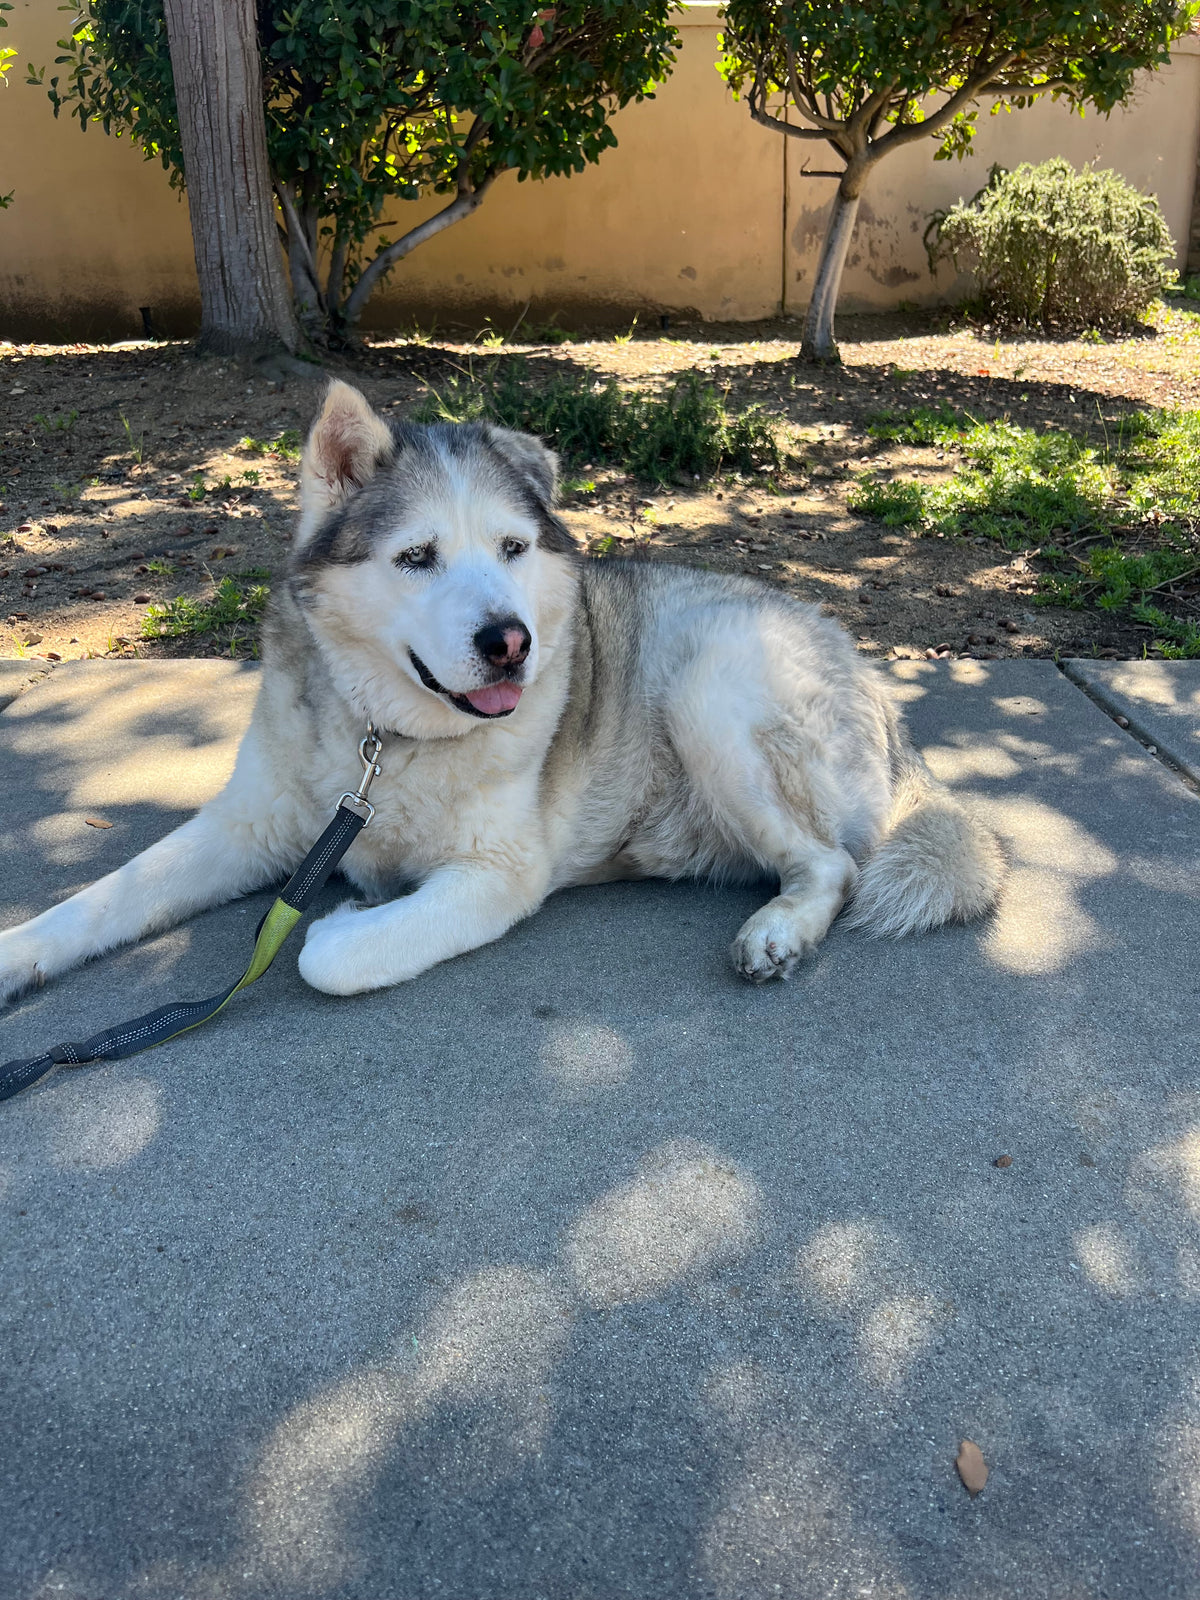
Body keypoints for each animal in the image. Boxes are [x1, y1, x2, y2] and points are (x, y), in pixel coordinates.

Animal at [0, 382, 1002, 1005]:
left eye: (514, 548)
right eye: (416, 556)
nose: (510, 643)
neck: (386, 746)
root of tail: (868, 671)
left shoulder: (495, 875)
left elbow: (337, 958)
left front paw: (341, 923)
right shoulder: (248, 824)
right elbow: (107, 896)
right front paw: (20, 953)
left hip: (711, 686)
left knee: (833, 864)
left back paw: (778, 932)